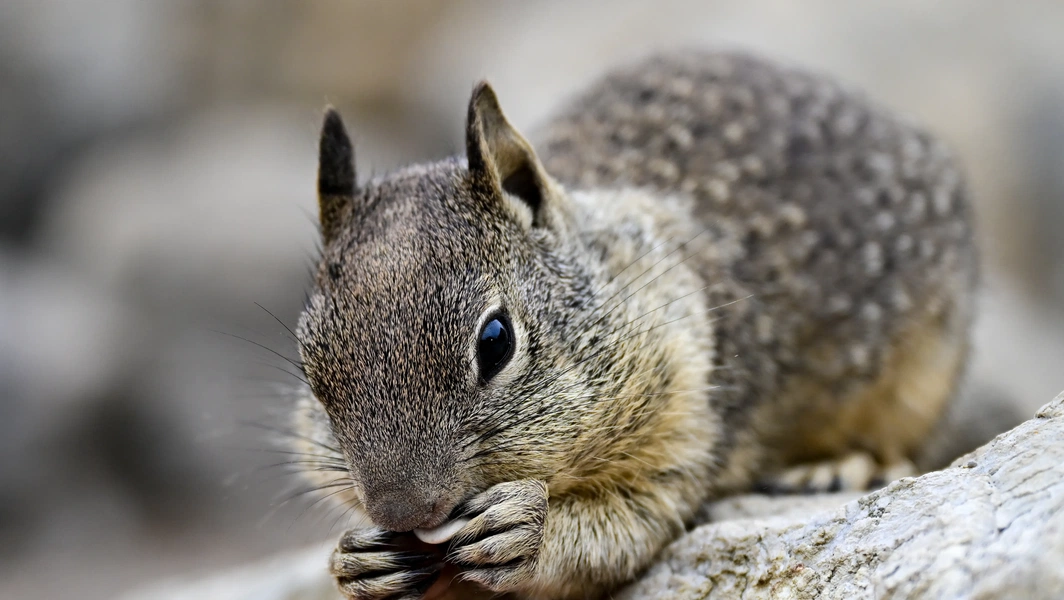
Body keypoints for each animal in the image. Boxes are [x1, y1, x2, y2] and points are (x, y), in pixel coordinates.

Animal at [290, 50, 977, 600]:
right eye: (312, 371)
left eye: (496, 342)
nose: (403, 511)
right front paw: (356, 564)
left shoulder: (686, 422)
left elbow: (630, 527)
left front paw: (528, 529)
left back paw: (833, 468)